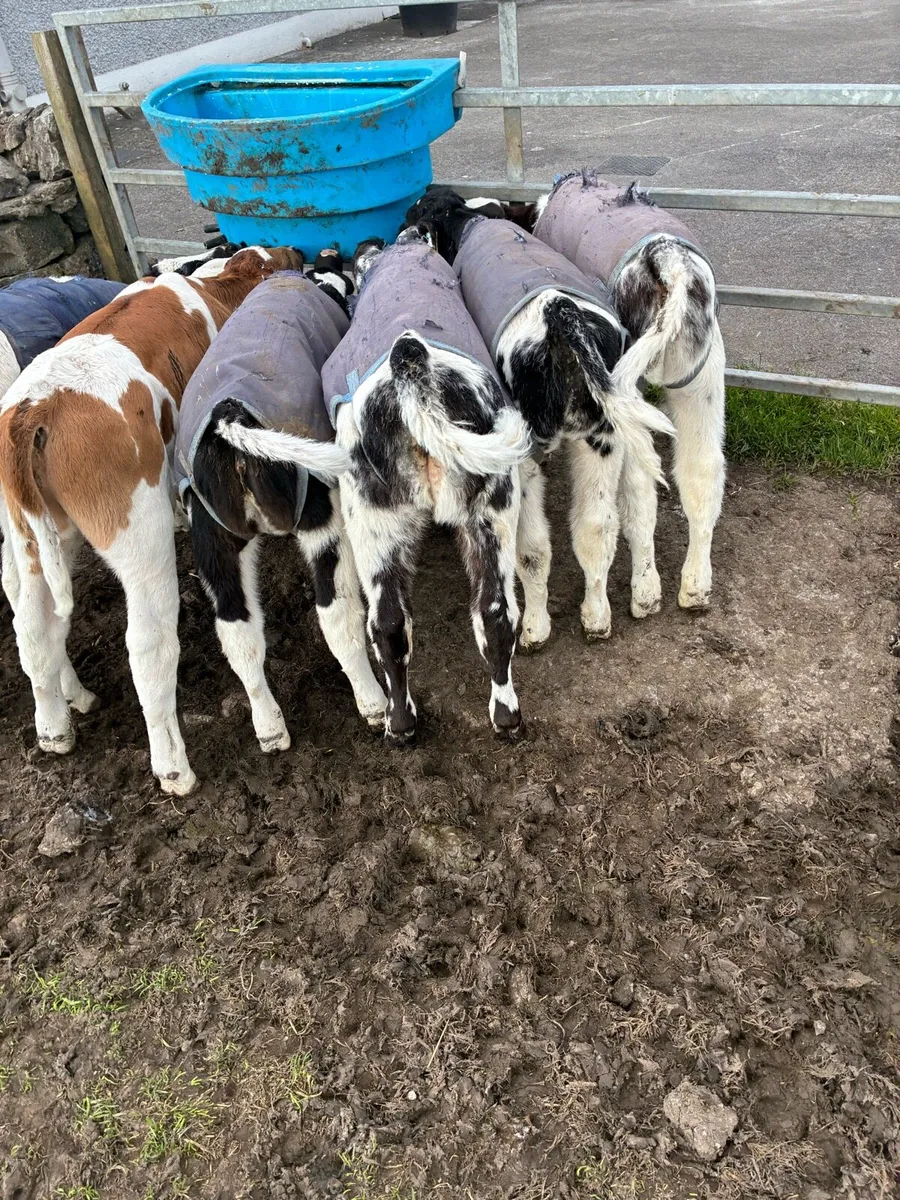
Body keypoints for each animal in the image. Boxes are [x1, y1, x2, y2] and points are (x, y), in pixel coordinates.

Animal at [0, 246, 302, 795]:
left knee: (33, 627)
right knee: (149, 645)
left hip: (31, 541)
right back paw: (173, 767)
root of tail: (36, 408)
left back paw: (57, 725)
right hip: (139, 536)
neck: (212, 288)